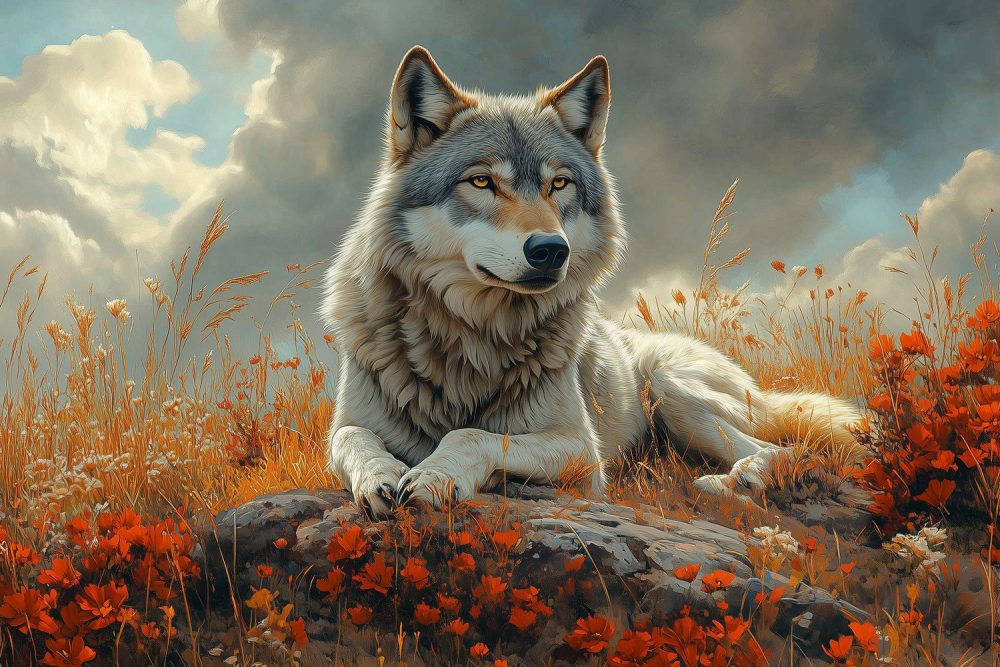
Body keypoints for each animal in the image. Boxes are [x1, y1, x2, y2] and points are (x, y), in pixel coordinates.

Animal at [322, 46, 861, 516]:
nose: (549, 249)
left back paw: (737, 478)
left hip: (671, 387)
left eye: (559, 183)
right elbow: (351, 439)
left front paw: (434, 477)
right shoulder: (350, 423)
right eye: (481, 182)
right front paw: (379, 478)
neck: (469, 340)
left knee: (787, 449)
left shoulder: (582, 450)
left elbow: (470, 435)